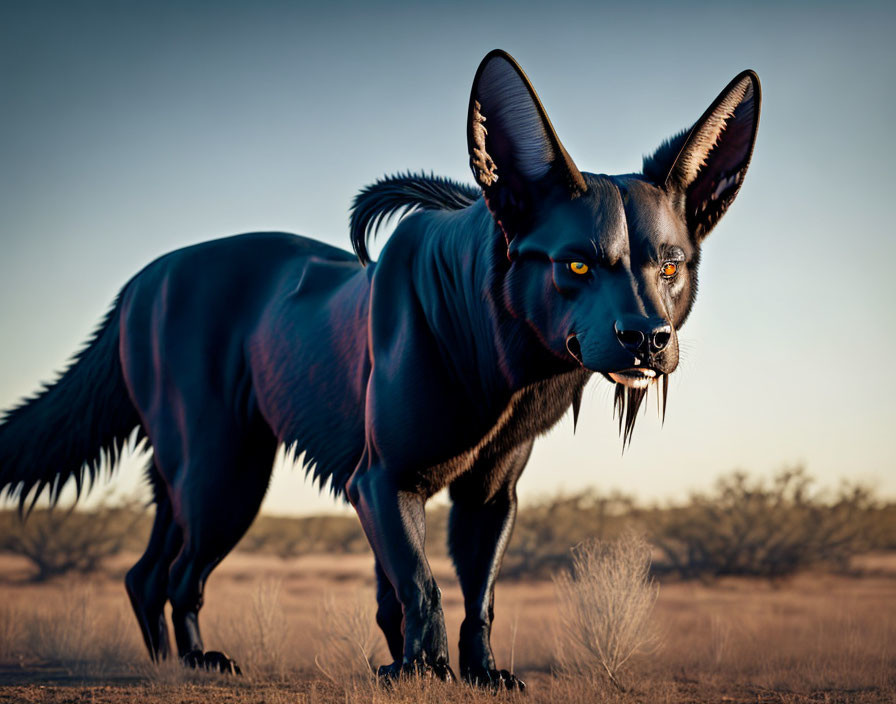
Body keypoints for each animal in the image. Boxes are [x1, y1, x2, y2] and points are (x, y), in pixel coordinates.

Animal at [0, 51, 760, 688]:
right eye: (576, 265)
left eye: (669, 266)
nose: (646, 338)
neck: (502, 365)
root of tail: (142, 278)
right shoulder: (381, 479)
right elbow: (420, 585)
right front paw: (422, 672)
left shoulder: (489, 494)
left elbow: (473, 590)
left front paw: (479, 673)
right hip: (223, 474)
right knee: (181, 573)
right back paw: (198, 663)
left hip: (183, 477)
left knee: (144, 571)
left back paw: (165, 667)